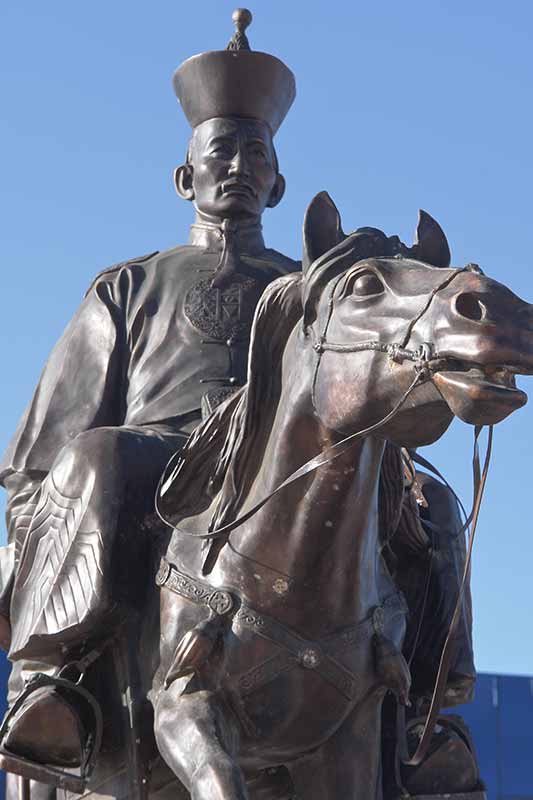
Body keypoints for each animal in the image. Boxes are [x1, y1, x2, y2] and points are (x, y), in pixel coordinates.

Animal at [145, 194, 533, 800]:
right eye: (363, 284)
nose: (499, 309)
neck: (290, 580)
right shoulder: (180, 706)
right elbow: (217, 772)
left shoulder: (350, 732)